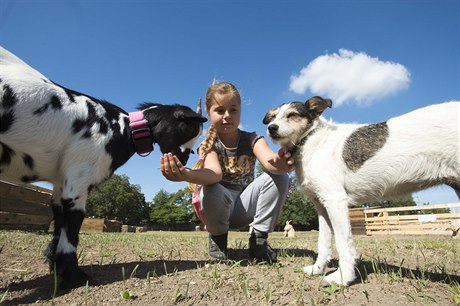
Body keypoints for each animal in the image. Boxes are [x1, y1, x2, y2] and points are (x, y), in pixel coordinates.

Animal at [0, 47, 206, 290]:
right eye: (188, 129)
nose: (183, 160)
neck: (120, 129)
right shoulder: (79, 177)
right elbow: (72, 226)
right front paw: (75, 276)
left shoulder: (61, 183)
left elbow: (59, 225)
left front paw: (57, 269)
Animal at [262, 97, 460, 286]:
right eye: (273, 117)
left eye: (292, 115)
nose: (271, 128)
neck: (310, 140)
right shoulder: (322, 207)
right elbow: (323, 242)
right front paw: (318, 269)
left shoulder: (335, 200)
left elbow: (343, 243)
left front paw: (342, 278)